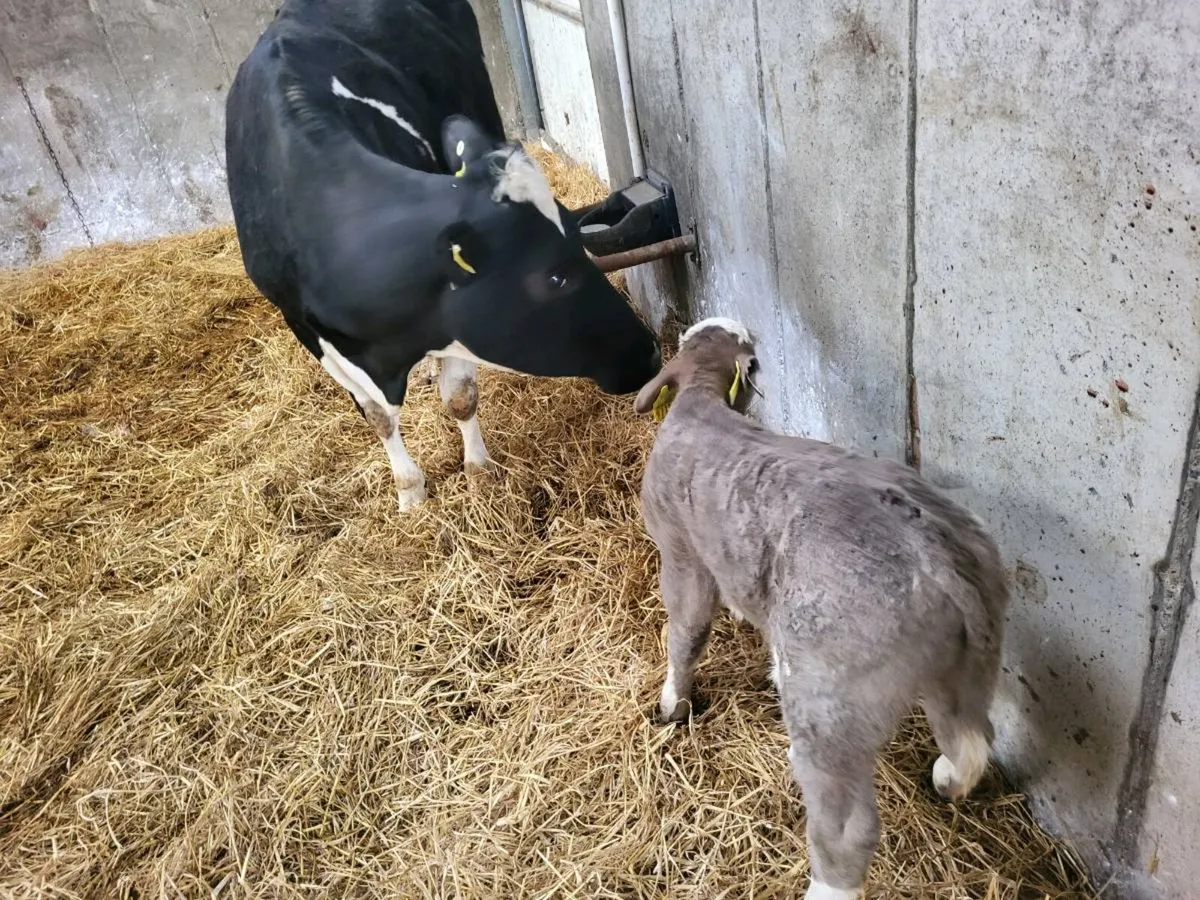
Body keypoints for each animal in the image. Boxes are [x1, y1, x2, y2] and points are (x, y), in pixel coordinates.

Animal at [224, 0, 662, 512]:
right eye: (555, 277)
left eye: (578, 240)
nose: (651, 350)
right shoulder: (308, 330)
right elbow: (377, 415)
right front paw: (409, 493)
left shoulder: (448, 320)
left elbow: (460, 398)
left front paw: (479, 473)